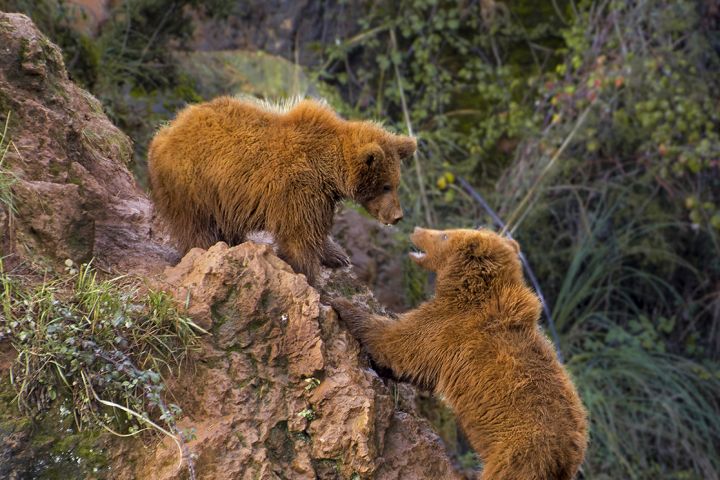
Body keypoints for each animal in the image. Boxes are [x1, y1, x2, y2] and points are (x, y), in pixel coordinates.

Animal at [147, 97, 416, 284]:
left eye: (396, 184)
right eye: (386, 186)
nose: (397, 216)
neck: (328, 170)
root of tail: (167, 131)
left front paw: (337, 255)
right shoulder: (299, 190)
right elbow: (300, 236)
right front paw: (308, 275)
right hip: (192, 184)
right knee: (197, 227)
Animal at [334, 227, 588, 478]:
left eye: (444, 235)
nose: (417, 229)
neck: (472, 291)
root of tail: (566, 454)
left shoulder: (448, 327)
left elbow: (398, 344)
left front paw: (342, 303)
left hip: (518, 456)